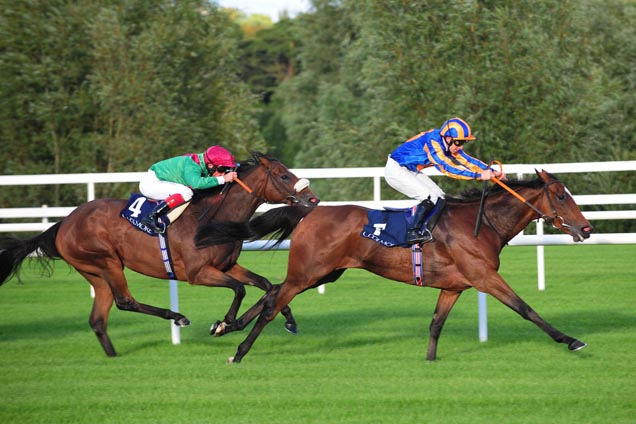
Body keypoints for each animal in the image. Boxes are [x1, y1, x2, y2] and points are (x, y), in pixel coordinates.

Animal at [0, 151, 318, 356]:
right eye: (284, 175)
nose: (312, 198)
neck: (214, 217)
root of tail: (64, 223)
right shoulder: (198, 273)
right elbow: (240, 289)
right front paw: (224, 323)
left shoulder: (228, 265)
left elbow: (268, 285)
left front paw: (287, 320)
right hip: (106, 261)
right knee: (125, 301)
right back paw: (177, 317)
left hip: (95, 273)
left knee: (98, 319)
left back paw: (114, 356)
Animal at [198, 171, 592, 362]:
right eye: (561, 196)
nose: (586, 228)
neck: (482, 224)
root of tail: (310, 211)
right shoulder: (484, 276)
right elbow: (526, 308)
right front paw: (571, 340)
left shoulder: (454, 286)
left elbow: (435, 324)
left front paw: (430, 362)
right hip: (307, 272)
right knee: (271, 304)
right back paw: (239, 352)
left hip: (323, 272)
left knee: (272, 293)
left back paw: (226, 325)